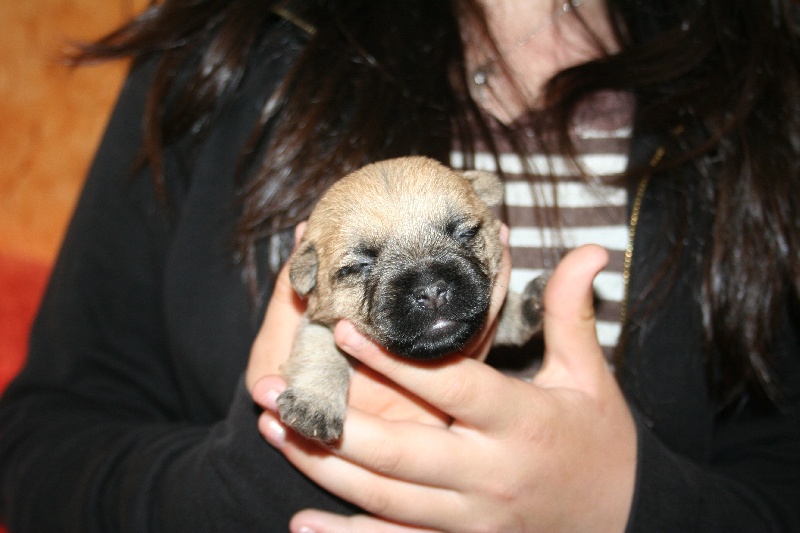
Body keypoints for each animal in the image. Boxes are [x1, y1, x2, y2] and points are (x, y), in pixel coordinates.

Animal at [278, 156, 548, 442]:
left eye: (465, 233)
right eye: (359, 266)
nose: (431, 291)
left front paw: (526, 306)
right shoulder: (318, 320)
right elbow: (320, 350)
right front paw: (315, 402)